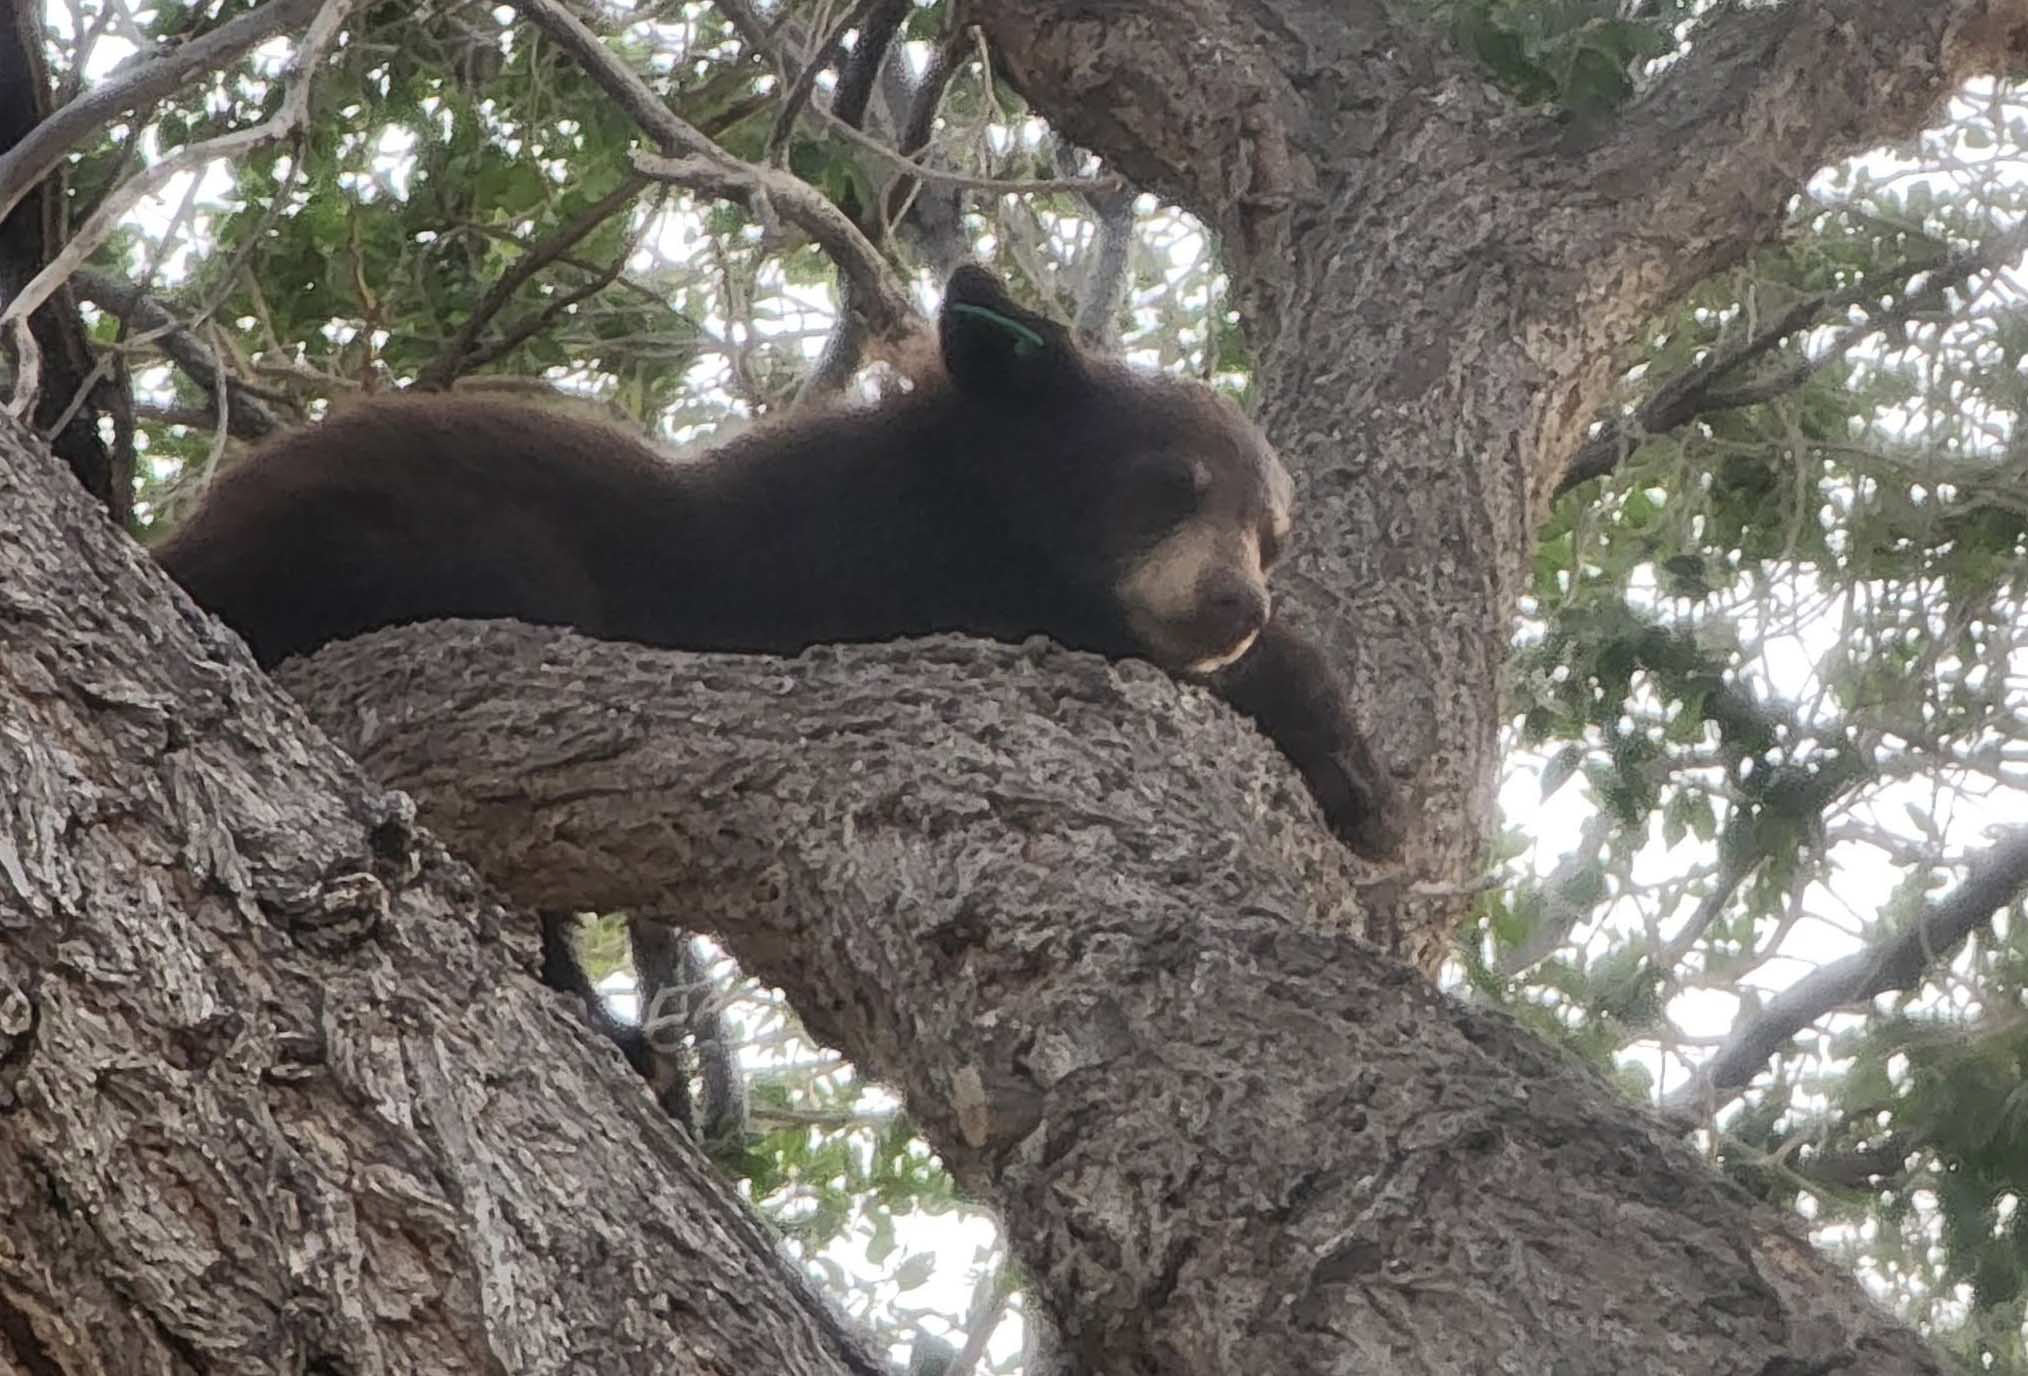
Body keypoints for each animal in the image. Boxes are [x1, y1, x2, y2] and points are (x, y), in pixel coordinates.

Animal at [152, 263, 1399, 1095]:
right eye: (1168, 482)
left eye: (1273, 532)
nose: (1236, 603)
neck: (968, 490)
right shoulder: (877, 563)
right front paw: (1343, 751)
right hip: (427, 543)